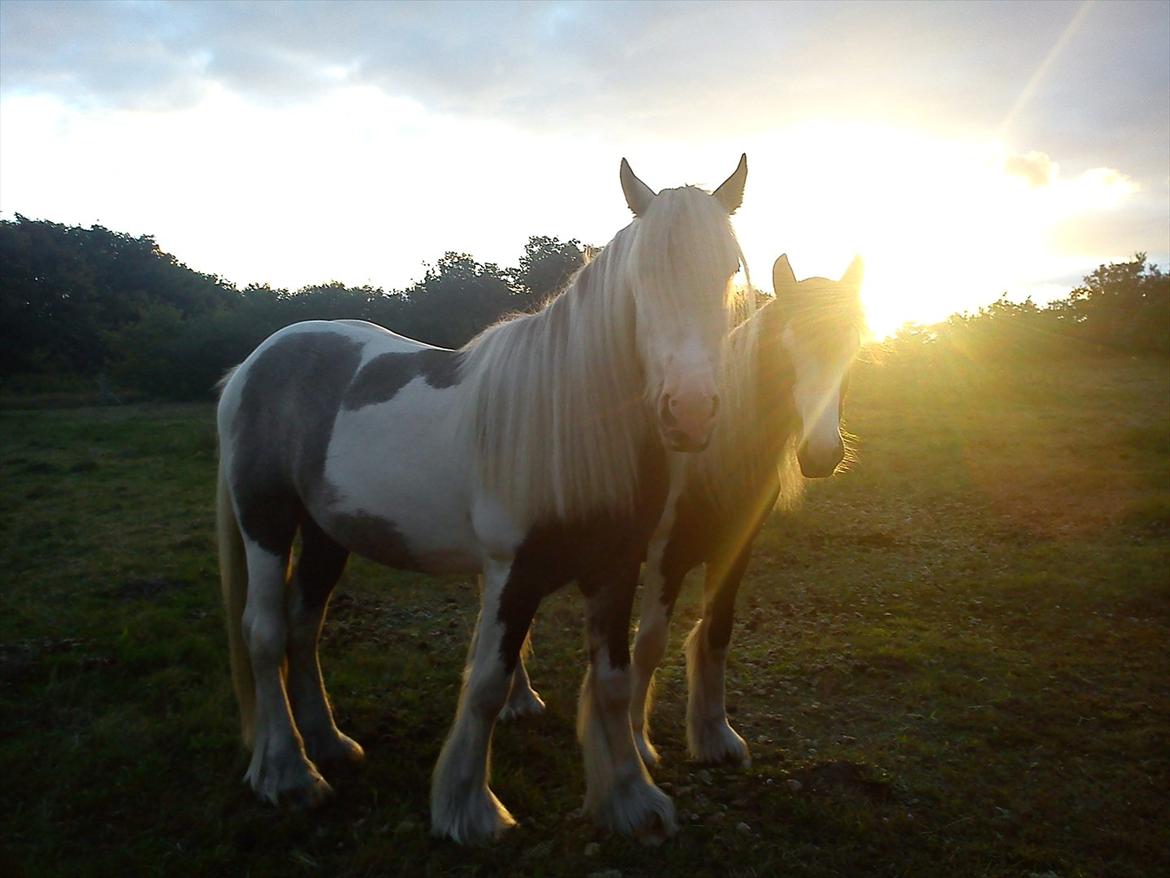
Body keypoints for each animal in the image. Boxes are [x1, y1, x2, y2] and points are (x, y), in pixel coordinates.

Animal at [214, 156, 748, 847]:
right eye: (643, 274)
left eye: (729, 270)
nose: (689, 413)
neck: (568, 423)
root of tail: (256, 361)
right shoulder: (509, 573)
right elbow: (490, 683)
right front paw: (469, 810)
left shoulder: (616, 569)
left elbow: (612, 681)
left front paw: (632, 801)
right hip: (267, 520)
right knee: (265, 631)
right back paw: (288, 774)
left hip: (329, 534)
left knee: (304, 629)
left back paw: (329, 745)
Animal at [507, 250, 865, 767]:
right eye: (787, 344)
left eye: (853, 346)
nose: (821, 455)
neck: (713, 455)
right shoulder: (664, 557)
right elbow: (650, 643)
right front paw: (638, 742)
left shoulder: (736, 551)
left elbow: (717, 632)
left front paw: (716, 735)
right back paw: (518, 700)